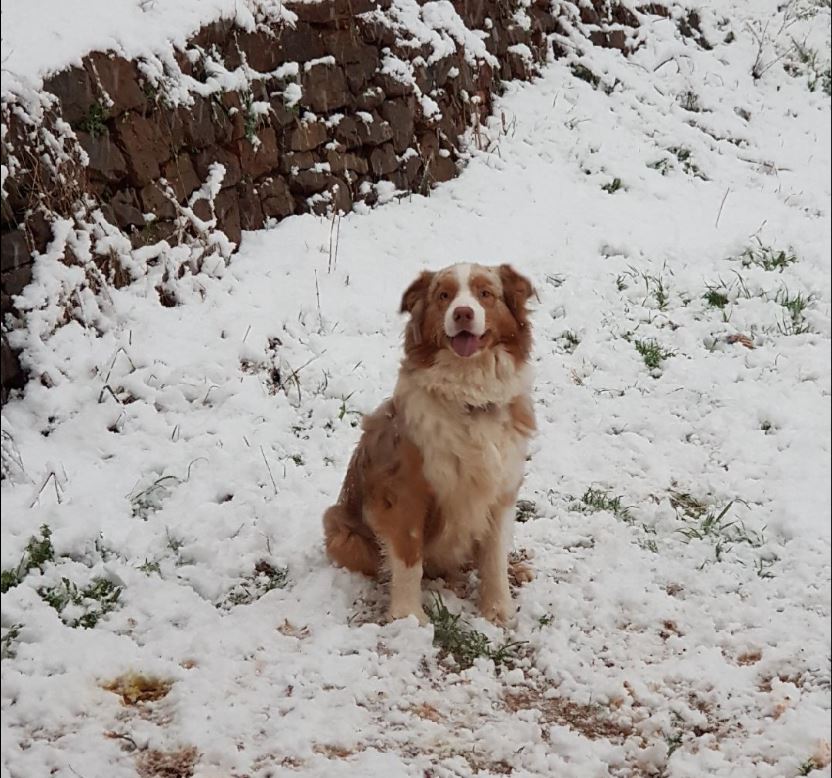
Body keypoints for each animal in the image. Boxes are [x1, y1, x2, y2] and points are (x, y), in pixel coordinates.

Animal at [322, 262, 536, 624]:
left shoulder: (501, 489)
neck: (469, 399)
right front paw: (409, 618)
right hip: (340, 529)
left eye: (485, 293)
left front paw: (497, 610)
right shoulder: (404, 491)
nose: (463, 313)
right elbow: (409, 558)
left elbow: (493, 557)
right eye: (444, 296)